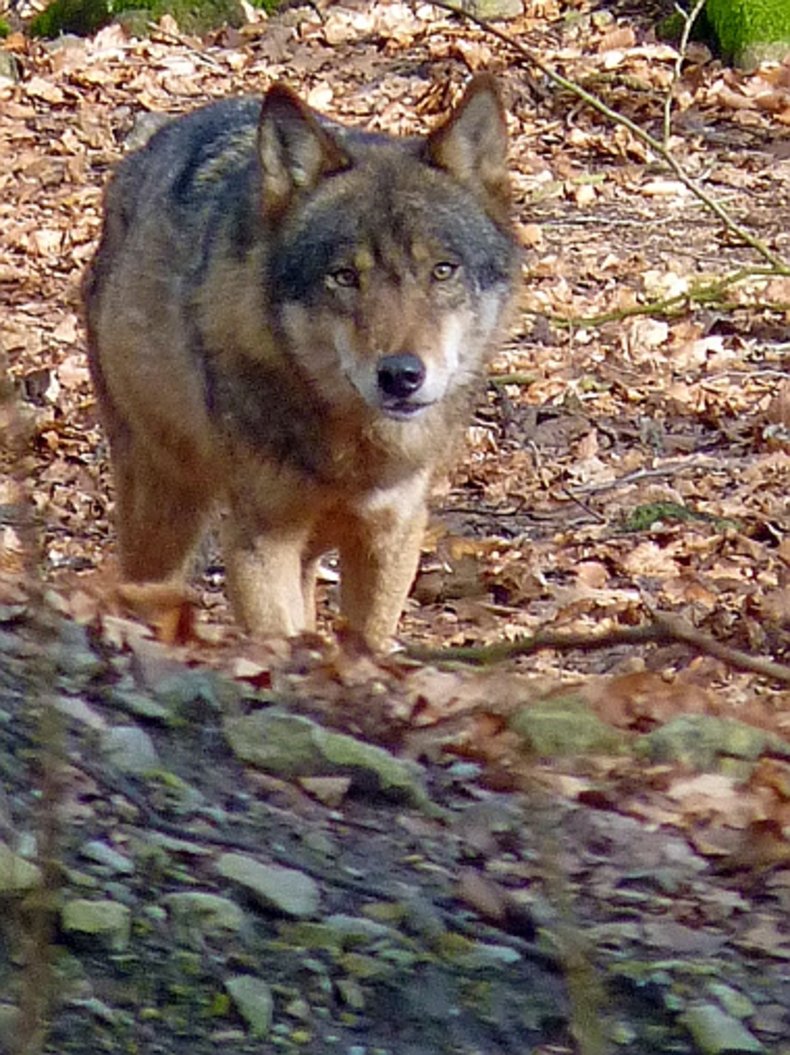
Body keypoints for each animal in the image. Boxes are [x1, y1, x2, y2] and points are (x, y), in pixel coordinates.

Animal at [84, 72, 516, 649]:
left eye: (443, 270)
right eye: (344, 276)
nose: (401, 375)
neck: (352, 449)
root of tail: (140, 156)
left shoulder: (392, 536)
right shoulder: (259, 541)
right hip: (163, 509)